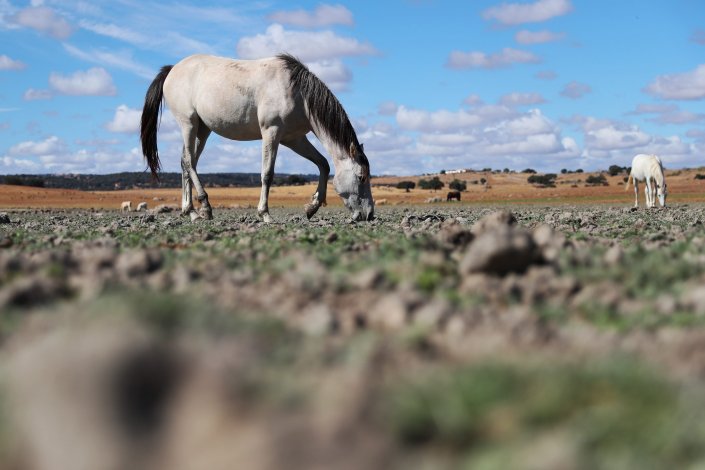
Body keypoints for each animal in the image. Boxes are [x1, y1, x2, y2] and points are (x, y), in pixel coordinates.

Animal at [140, 53, 376, 222]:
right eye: (361, 177)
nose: (369, 214)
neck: (298, 93)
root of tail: (172, 69)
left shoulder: (294, 139)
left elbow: (324, 164)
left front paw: (311, 207)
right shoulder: (272, 132)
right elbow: (267, 174)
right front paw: (265, 214)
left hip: (202, 130)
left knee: (186, 162)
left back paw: (190, 211)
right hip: (188, 124)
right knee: (189, 162)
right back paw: (204, 208)